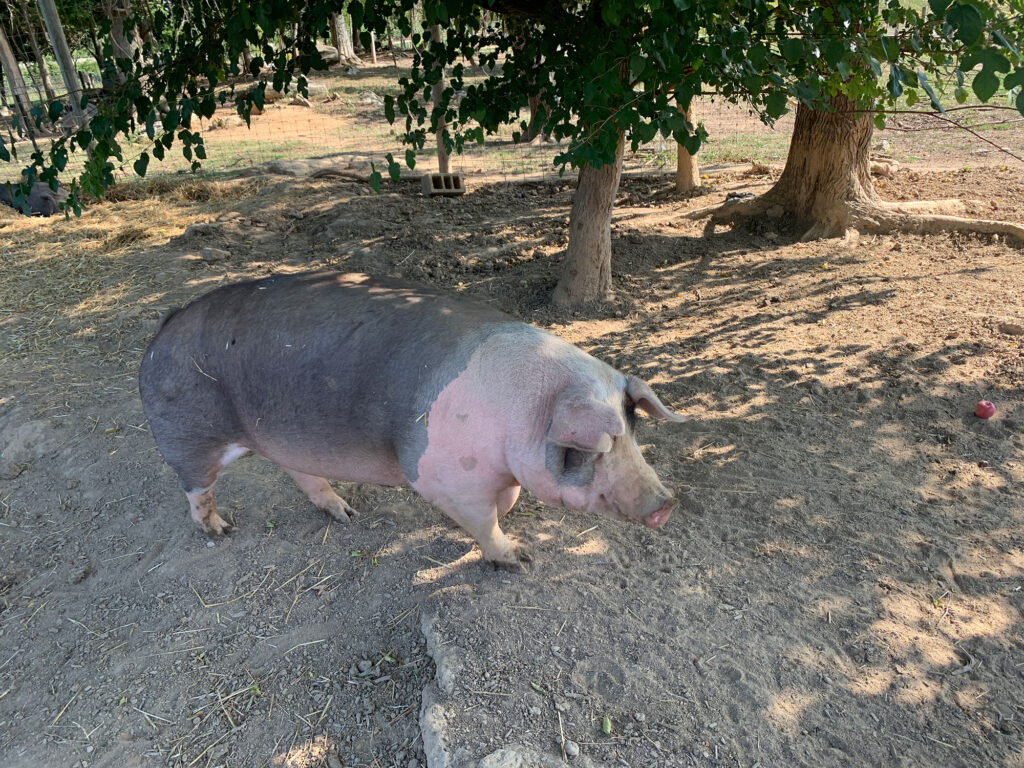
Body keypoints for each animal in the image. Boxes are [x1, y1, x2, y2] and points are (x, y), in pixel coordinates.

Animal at [134, 274, 679, 569]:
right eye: (592, 449)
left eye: (633, 433)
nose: (666, 504)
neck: (522, 412)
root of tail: (166, 325)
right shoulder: (443, 476)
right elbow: (485, 523)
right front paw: (520, 559)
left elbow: (504, 504)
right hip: (185, 434)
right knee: (196, 490)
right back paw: (222, 530)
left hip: (275, 437)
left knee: (299, 472)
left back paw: (346, 513)